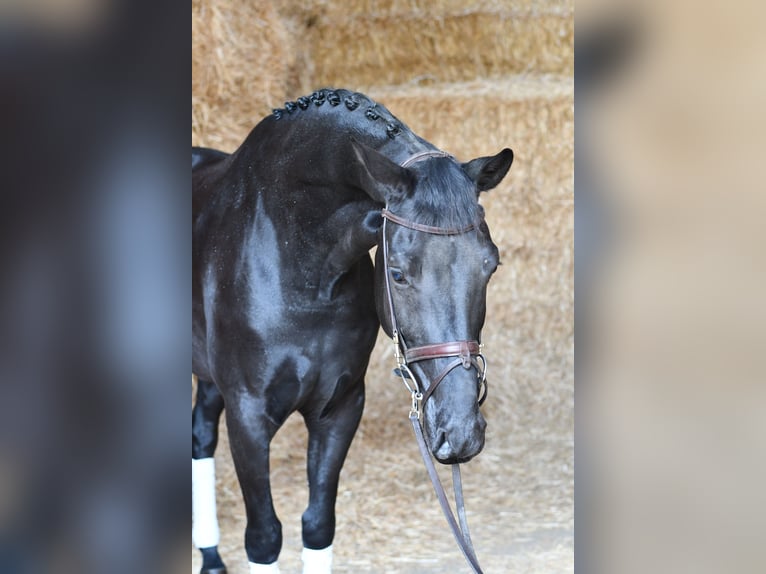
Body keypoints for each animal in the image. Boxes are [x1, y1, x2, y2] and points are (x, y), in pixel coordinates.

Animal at [192, 88, 513, 574]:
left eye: (490, 265)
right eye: (397, 273)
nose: (460, 432)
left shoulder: (340, 407)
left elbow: (318, 524)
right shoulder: (248, 415)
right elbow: (264, 536)